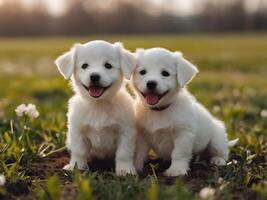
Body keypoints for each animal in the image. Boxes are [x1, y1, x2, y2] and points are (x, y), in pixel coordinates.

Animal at [55, 40, 137, 175]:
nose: (94, 76)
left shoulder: (125, 132)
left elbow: (123, 153)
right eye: (84, 66)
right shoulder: (78, 131)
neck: (98, 105)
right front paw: (76, 167)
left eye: (108, 65)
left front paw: (125, 170)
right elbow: (79, 151)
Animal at [132, 48, 239, 177]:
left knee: (223, 153)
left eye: (165, 73)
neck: (159, 110)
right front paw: (136, 168)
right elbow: (139, 153)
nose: (151, 83)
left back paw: (217, 160)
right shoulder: (142, 135)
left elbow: (178, 153)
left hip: (217, 140)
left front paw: (176, 170)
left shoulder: (183, 134)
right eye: (142, 72)